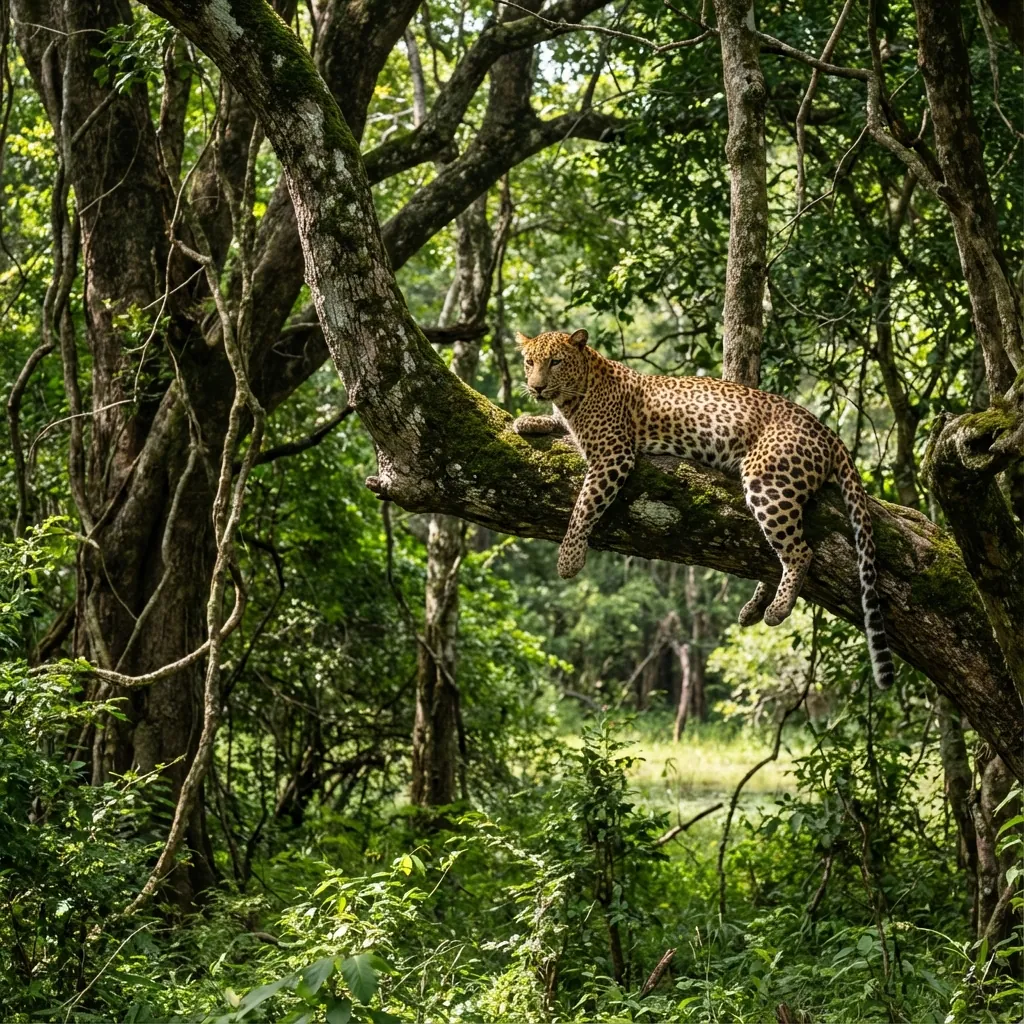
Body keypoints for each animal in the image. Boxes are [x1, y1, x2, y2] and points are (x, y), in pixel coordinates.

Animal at [511, 327, 894, 690]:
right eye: (529, 362)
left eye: (556, 362)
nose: (536, 387)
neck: (576, 392)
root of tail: (827, 432)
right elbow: (555, 422)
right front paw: (527, 419)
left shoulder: (612, 455)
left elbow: (584, 506)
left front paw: (569, 559)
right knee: (776, 553)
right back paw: (753, 609)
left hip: (767, 482)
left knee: (800, 551)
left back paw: (777, 609)